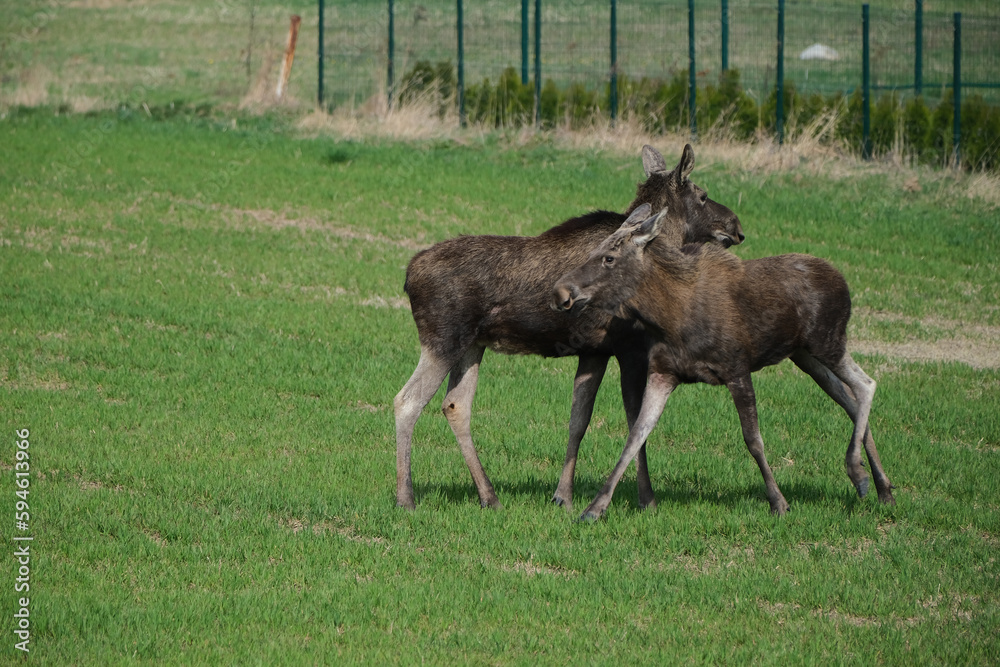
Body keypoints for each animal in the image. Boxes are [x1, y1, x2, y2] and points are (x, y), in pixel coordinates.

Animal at [395, 145, 745, 511]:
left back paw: (489, 496)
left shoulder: (594, 351)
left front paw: (563, 495)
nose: (736, 227)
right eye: (703, 195)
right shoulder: (630, 349)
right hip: (443, 340)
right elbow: (635, 423)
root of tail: (408, 275)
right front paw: (646, 498)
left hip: (472, 345)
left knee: (455, 406)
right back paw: (406, 497)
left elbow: (578, 420)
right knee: (406, 401)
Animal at [551, 206, 896, 521]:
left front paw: (779, 502)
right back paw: (882, 487)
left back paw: (858, 472)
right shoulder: (663, 372)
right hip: (805, 356)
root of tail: (844, 282)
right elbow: (635, 435)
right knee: (849, 398)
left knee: (866, 384)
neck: (667, 317)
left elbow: (753, 440)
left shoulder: (737, 369)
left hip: (828, 341)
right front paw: (594, 508)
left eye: (609, 257)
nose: (561, 291)